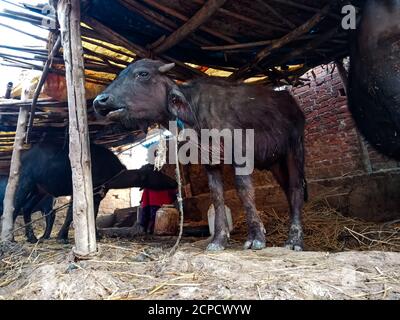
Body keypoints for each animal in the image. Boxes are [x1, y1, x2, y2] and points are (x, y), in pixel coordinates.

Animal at [94, 58, 306, 251]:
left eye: (143, 73)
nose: (99, 101)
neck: (196, 115)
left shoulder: (241, 155)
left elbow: (244, 191)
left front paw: (256, 238)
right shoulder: (210, 161)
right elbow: (217, 196)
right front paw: (218, 240)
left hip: (295, 147)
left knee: (296, 187)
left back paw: (294, 240)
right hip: (275, 161)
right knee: (287, 188)